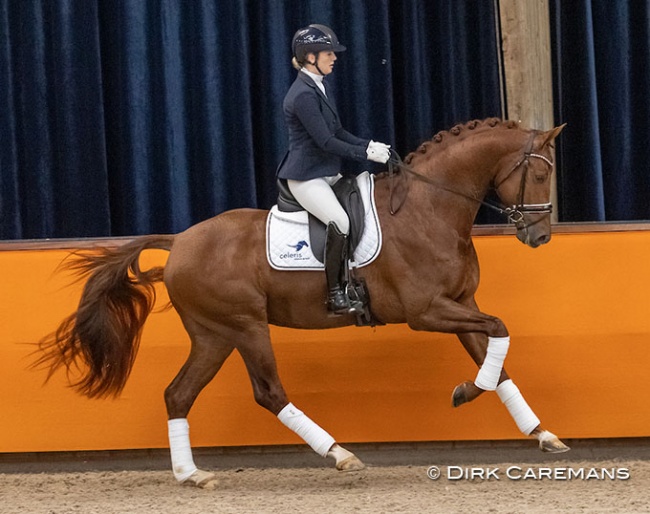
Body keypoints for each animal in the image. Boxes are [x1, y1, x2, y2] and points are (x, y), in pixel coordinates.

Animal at [34, 117, 560, 488]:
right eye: (537, 172)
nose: (539, 236)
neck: (428, 209)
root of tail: (179, 241)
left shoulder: (459, 303)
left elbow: (498, 355)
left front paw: (542, 433)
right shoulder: (425, 311)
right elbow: (499, 331)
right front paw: (466, 392)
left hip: (213, 335)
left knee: (178, 394)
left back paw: (192, 474)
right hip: (246, 326)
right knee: (269, 392)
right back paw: (339, 454)